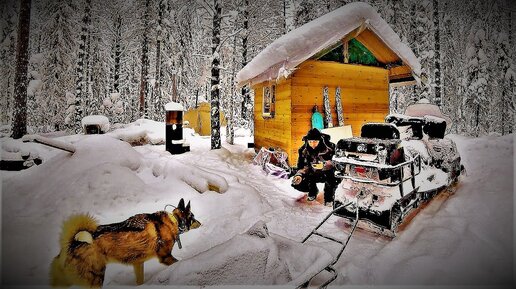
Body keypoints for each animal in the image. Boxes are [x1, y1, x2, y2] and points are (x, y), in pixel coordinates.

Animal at [49, 198, 200, 286]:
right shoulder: (165, 257)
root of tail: (71, 244)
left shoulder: (138, 264)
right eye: (193, 217)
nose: (201, 223)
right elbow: (177, 262)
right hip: (96, 278)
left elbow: (140, 281)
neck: (174, 221)